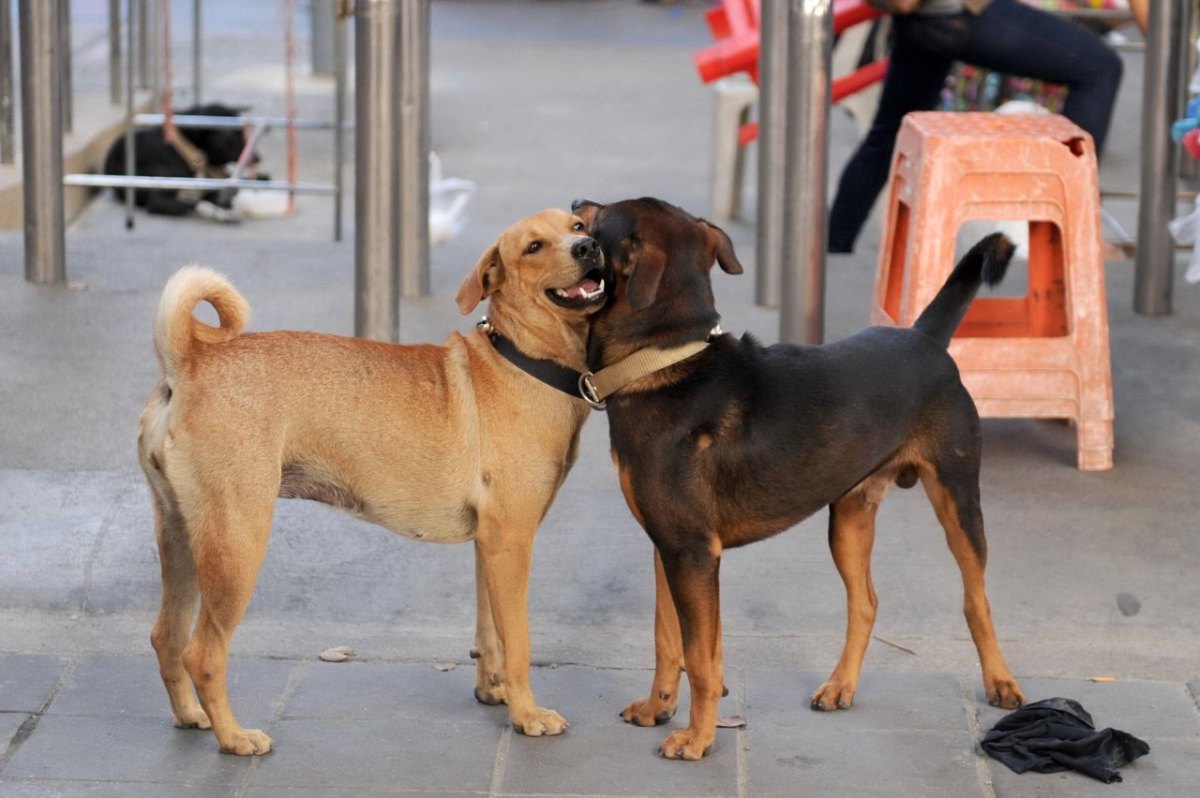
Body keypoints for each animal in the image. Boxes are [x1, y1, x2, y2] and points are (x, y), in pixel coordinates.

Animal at [138, 206, 609, 753]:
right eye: (534, 247)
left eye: (577, 227)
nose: (589, 247)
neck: (521, 360)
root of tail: (189, 362)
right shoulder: (511, 541)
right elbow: (518, 643)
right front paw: (527, 714)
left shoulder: (491, 546)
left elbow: (489, 632)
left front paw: (494, 694)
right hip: (236, 544)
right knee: (203, 654)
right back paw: (234, 737)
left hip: (183, 537)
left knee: (166, 637)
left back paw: (192, 716)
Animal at [576, 198, 1027, 758]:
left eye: (599, 219)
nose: (574, 206)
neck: (663, 359)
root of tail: (924, 337)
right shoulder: (670, 547)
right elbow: (668, 639)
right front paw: (657, 708)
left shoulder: (692, 552)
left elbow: (700, 657)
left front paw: (698, 739)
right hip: (850, 518)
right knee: (866, 603)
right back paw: (839, 687)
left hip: (957, 496)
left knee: (975, 599)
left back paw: (1000, 681)